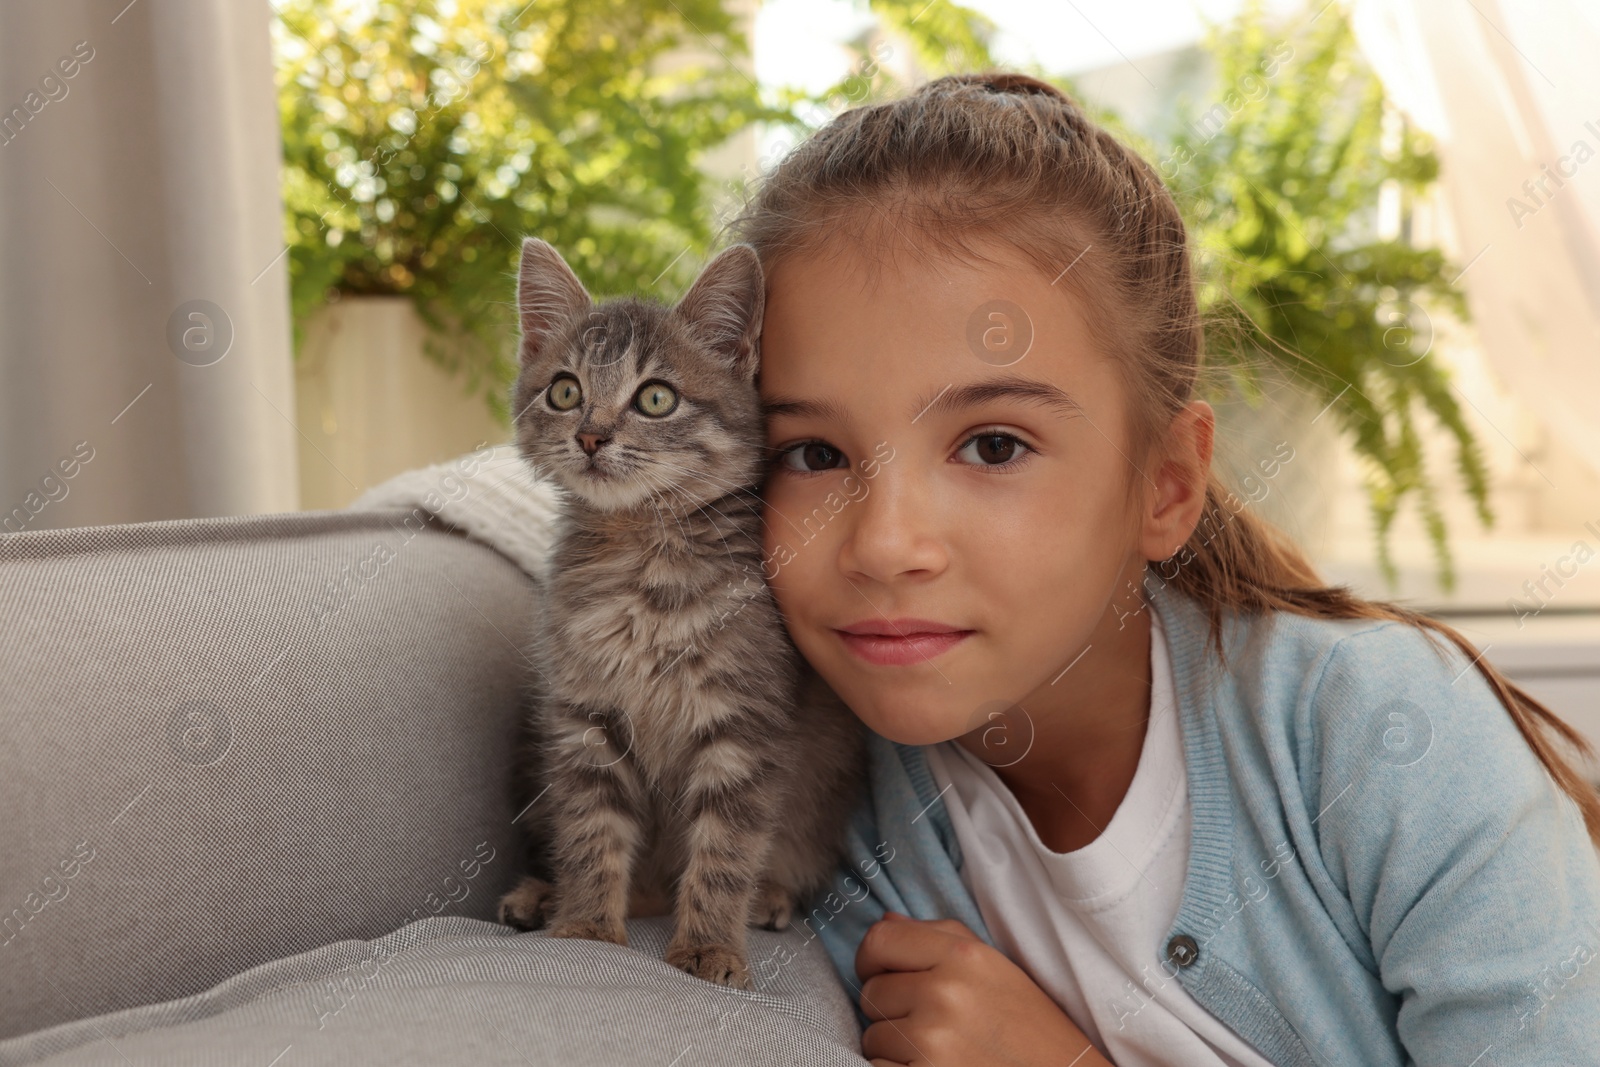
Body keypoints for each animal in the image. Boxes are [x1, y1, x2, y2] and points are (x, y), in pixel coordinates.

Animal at [499, 238, 870, 991]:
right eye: (565, 390)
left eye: (655, 398)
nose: (590, 437)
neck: (643, 555)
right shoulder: (584, 717)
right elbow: (591, 829)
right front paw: (585, 925)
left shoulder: (744, 726)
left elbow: (723, 851)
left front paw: (709, 948)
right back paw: (542, 896)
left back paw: (767, 899)